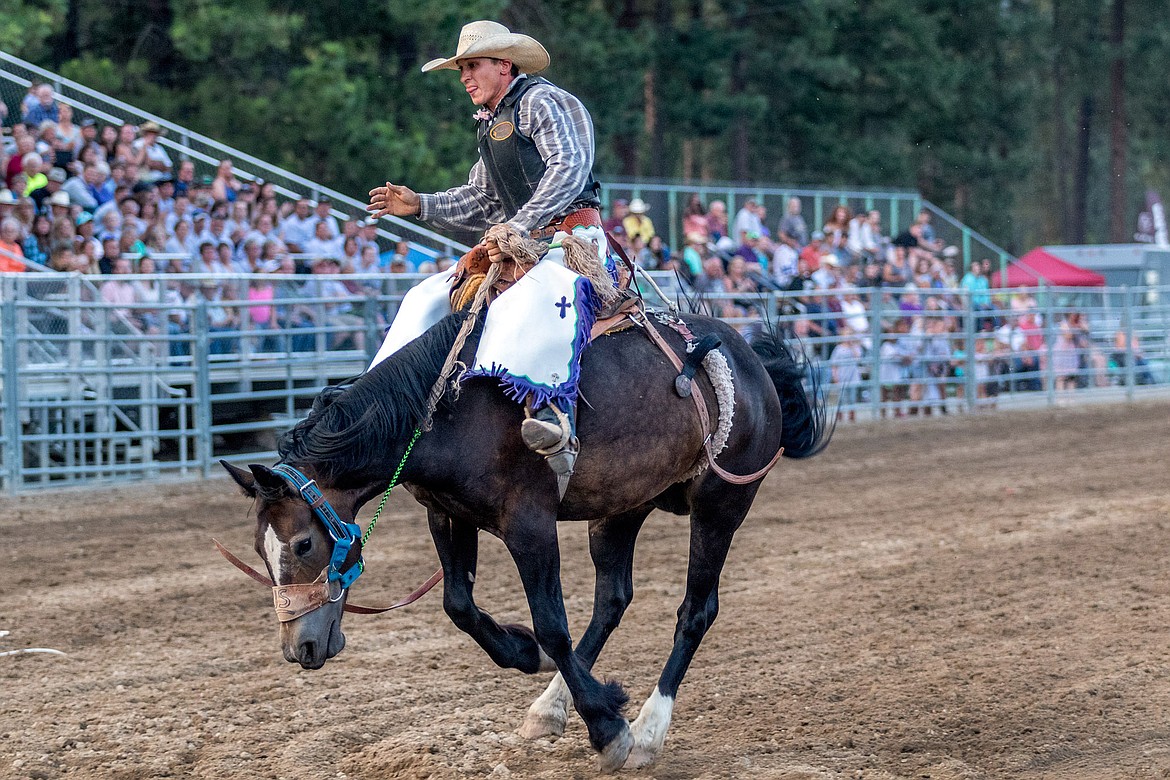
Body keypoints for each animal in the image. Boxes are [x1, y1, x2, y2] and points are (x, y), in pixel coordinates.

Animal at [221, 308, 833, 771]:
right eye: (258, 549)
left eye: (303, 544)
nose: (299, 648)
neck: (446, 409)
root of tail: (751, 361)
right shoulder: (446, 515)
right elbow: (459, 605)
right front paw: (526, 657)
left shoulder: (530, 525)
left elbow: (552, 626)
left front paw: (610, 730)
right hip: (620, 509)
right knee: (612, 600)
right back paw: (552, 706)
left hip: (721, 505)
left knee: (695, 610)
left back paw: (647, 730)